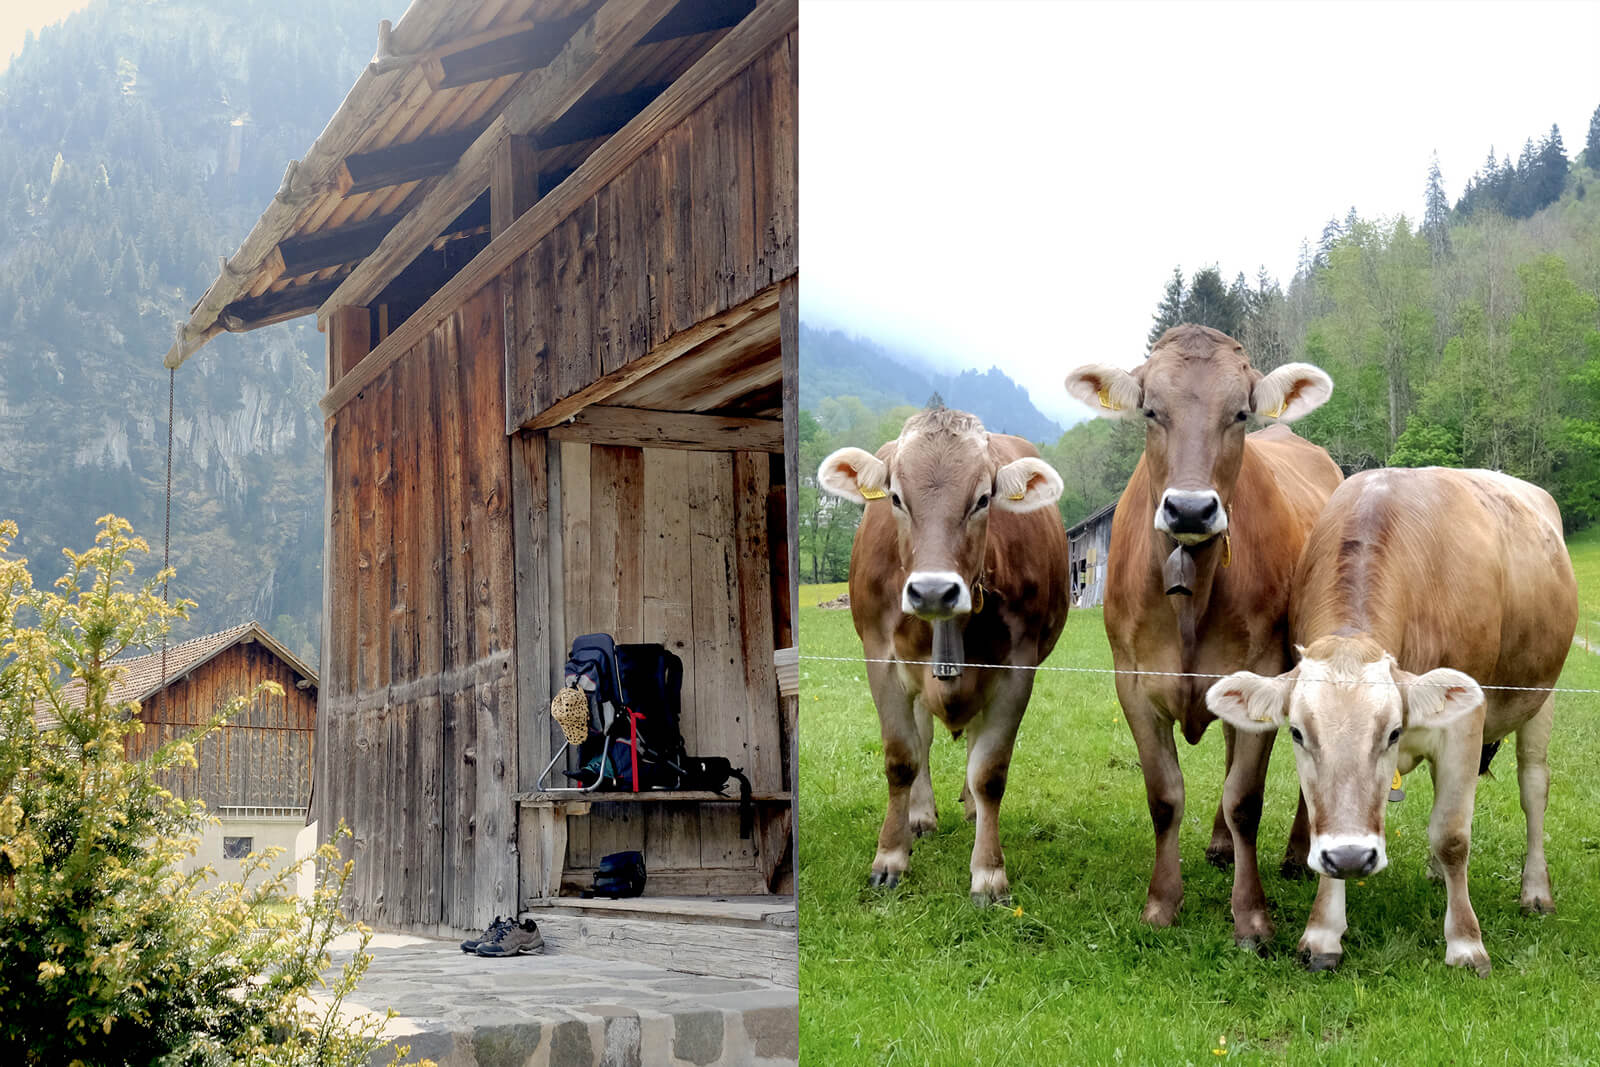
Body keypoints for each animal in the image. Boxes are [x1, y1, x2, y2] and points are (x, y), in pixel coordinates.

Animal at [819, 409, 1068, 902]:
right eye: (896, 497)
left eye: (983, 498)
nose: (933, 590)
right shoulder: (881, 660)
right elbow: (902, 759)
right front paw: (890, 857)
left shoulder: (1017, 669)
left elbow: (989, 772)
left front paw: (988, 873)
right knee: (923, 740)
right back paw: (919, 815)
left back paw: (971, 811)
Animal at [1068, 321, 1344, 947]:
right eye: (1150, 410)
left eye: (1239, 413)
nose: (1191, 509)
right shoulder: (1133, 682)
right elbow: (1165, 796)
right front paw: (1161, 904)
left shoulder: (1264, 670)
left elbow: (1246, 799)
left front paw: (1252, 917)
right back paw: (1220, 846)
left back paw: (1293, 855)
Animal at [1209, 470, 1574, 979]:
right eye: (1298, 734)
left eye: (1393, 732)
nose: (1350, 855)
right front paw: (1323, 934)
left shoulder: (1465, 726)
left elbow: (1454, 835)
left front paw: (1466, 943)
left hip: (1541, 700)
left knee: (1533, 788)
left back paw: (1535, 892)